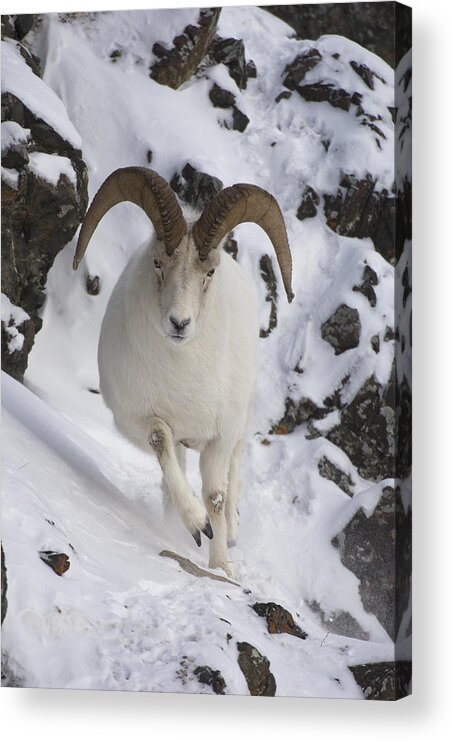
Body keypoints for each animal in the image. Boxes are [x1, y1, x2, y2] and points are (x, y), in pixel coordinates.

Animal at [73, 167, 294, 576]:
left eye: (209, 272)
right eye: (158, 263)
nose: (179, 323)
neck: (184, 375)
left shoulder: (220, 438)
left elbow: (216, 496)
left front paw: (222, 567)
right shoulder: (144, 422)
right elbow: (163, 447)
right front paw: (196, 526)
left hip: (241, 423)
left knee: (235, 468)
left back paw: (233, 532)